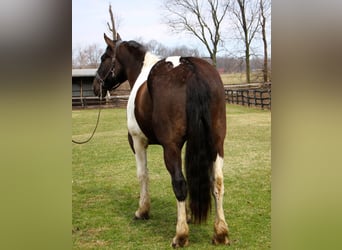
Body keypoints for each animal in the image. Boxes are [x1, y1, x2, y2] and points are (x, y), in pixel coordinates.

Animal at [93, 32, 230, 247]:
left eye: (104, 58)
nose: (95, 87)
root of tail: (190, 69)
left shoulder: (138, 142)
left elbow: (143, 175)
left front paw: (142, 211)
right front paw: (188, 215)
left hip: (170, 147)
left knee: (179, 183)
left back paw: (181, 235)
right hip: (216, 143)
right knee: (216, 182)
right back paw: (220, 232)